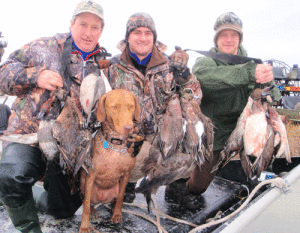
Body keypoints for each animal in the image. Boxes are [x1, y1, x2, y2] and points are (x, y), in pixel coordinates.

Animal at [79, 89, 141, 233]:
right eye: (114, 107)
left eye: (131, 106)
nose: (129, 127)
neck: (115, 145)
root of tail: (103, 200)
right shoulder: (90, 176)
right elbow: (86, 206)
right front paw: (85, 225)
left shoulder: (126, 175)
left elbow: (121, 198)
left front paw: (117, 214)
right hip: (83, 183)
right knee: (87, 201)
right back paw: (93, 210)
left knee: (115, 199)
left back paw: (112, 207)